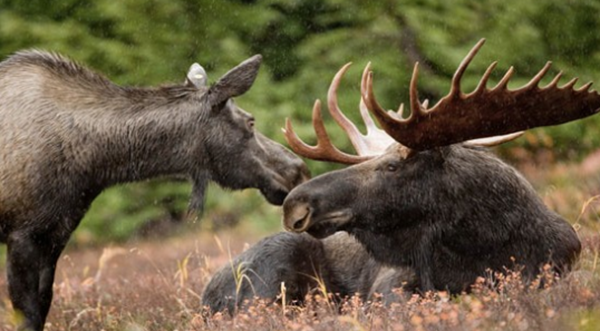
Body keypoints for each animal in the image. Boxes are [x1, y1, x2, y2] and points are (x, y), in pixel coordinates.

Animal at [0, 50, 310, 331]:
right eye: (250, 121)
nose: (298, 169)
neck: (93, 164)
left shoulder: (55, 233)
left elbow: (43, 304)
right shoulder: (23, 234)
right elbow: (27, 313)